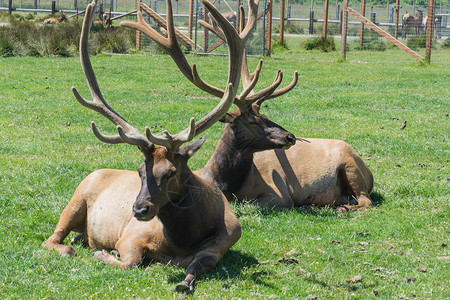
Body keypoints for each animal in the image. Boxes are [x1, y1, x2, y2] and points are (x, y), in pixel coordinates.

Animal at [41, 0, 256, 292]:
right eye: (140, 171)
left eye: (171, 172)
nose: (139, 210)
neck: (184, 240)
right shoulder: (130, 236)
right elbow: (130, 261)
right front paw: (104, 253)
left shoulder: (221, 245)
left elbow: (197, 267)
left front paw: (184, 282)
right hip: (75, 199)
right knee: (51, 239)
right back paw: (72, 248)